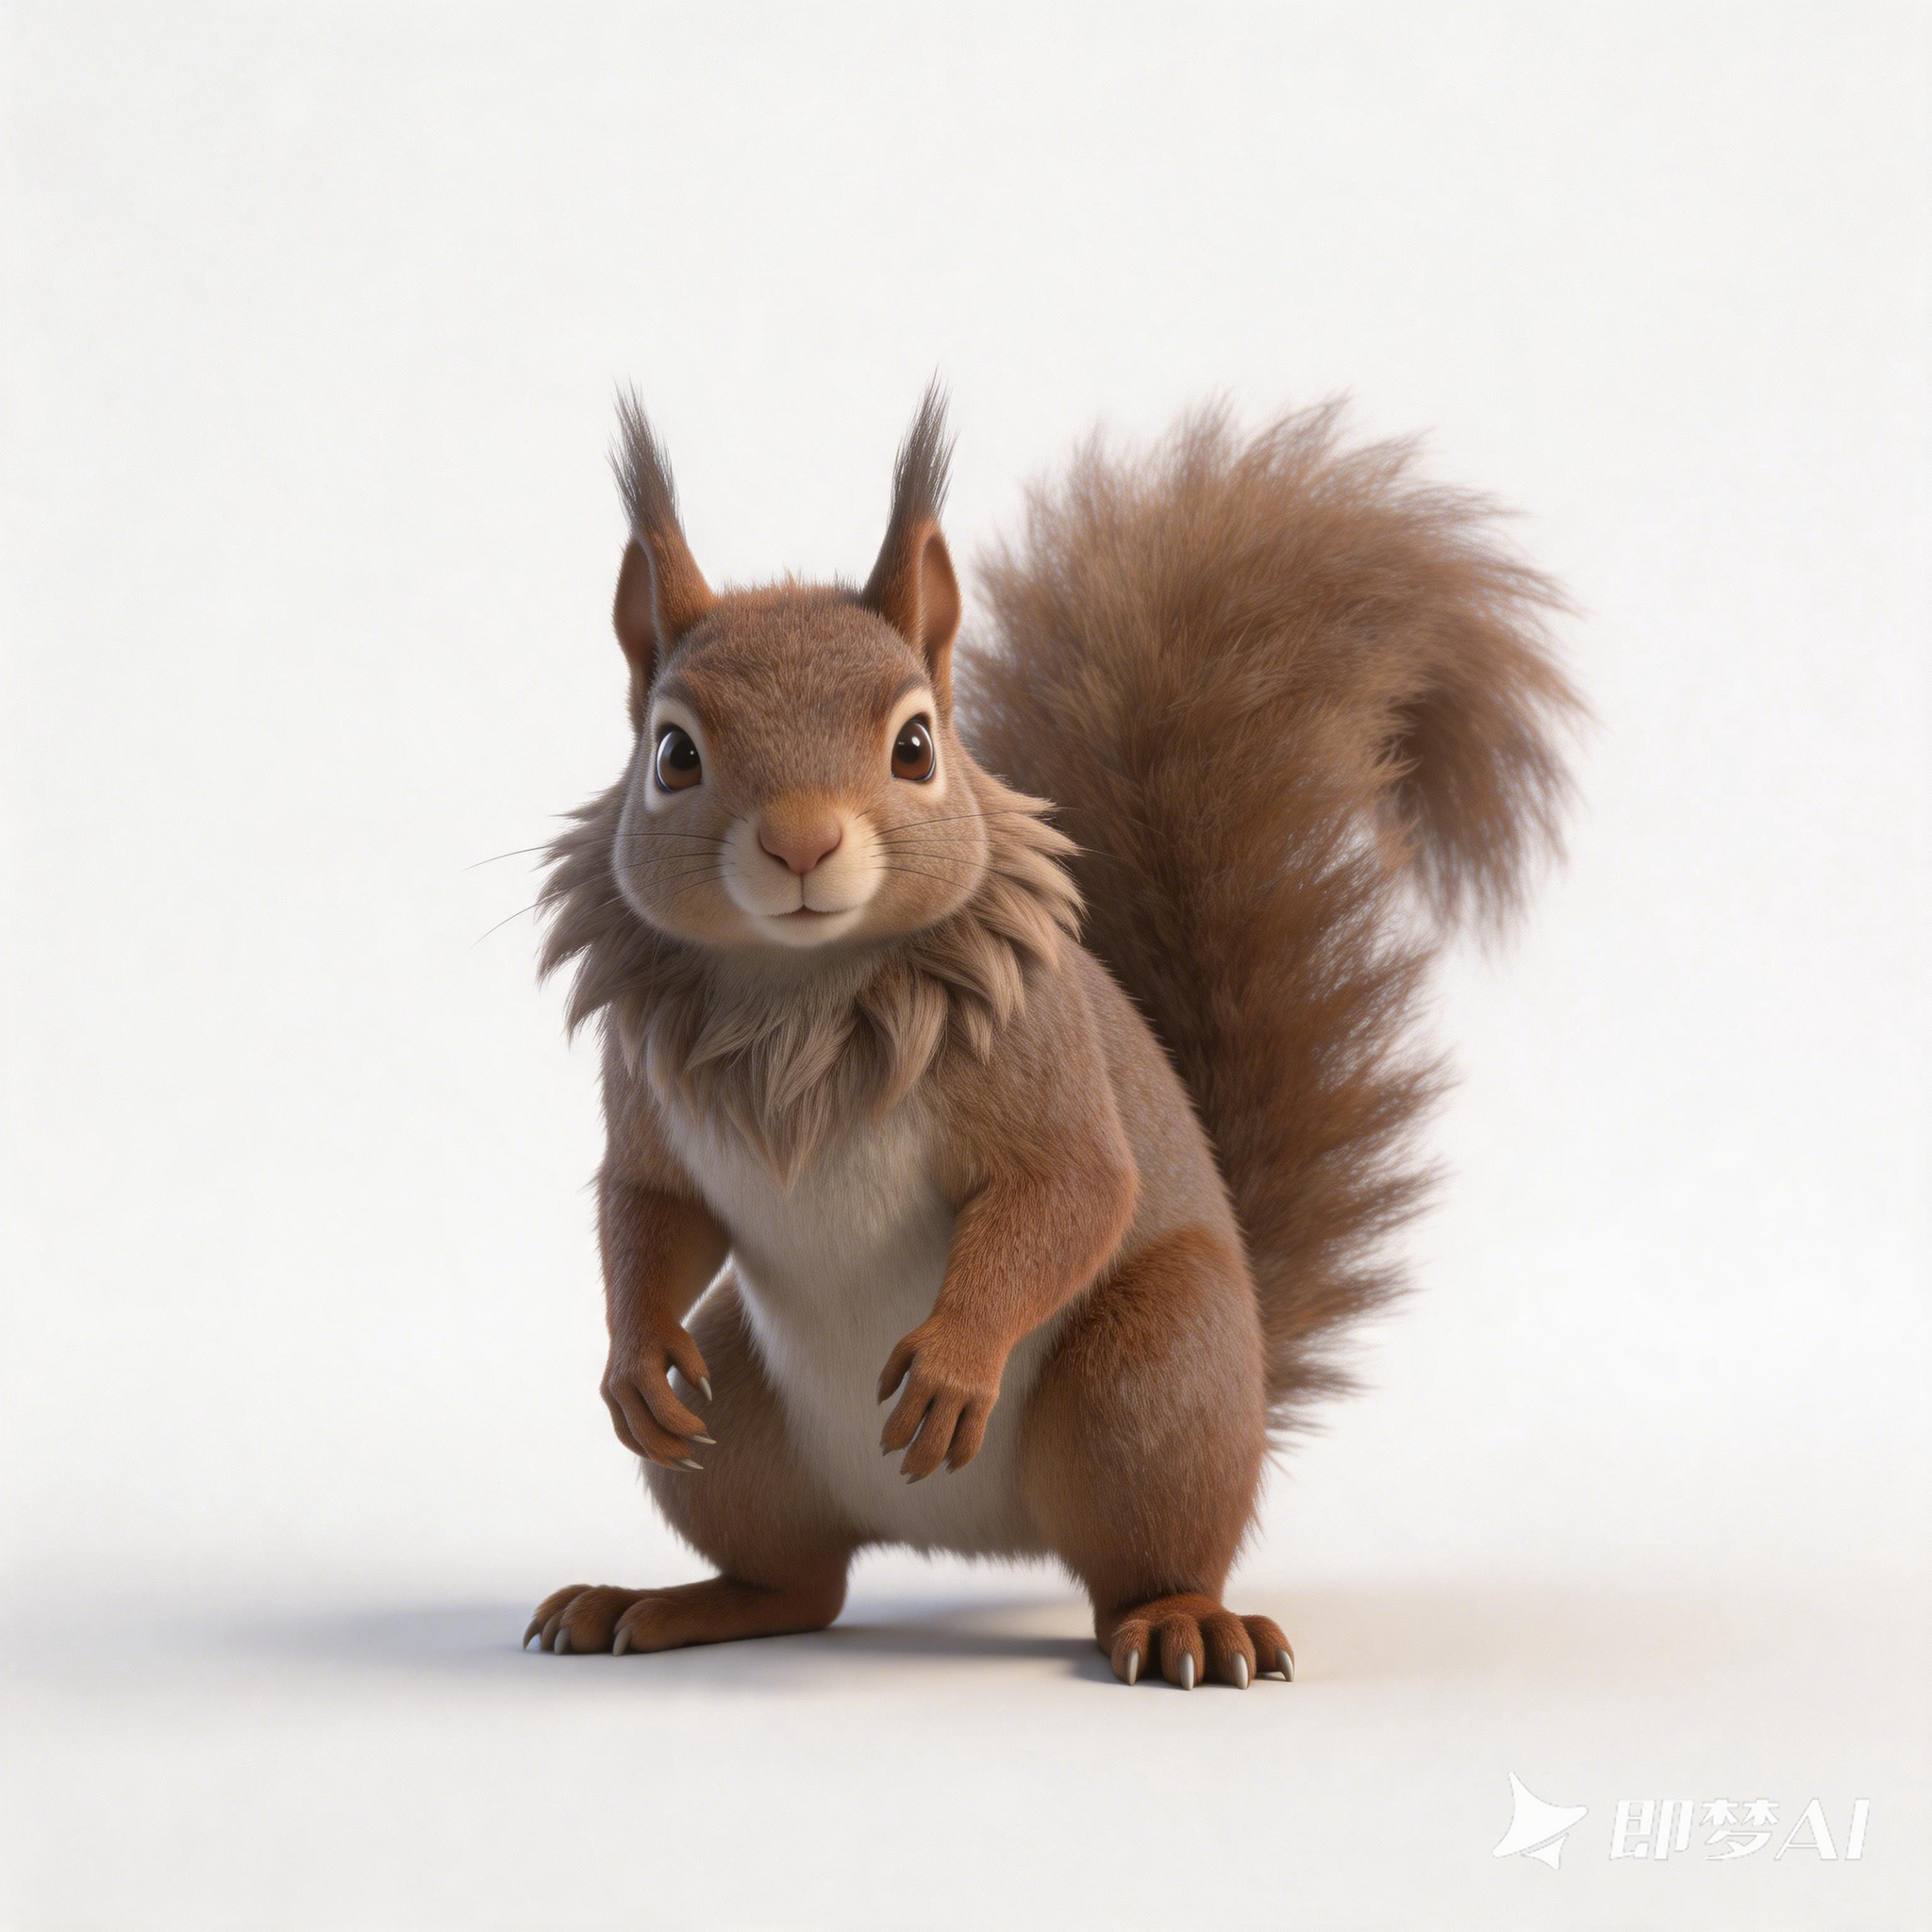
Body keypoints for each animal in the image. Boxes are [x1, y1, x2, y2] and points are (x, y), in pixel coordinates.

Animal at [525, 386, 1577, 1687]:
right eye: (672, 753)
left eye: (915, 744)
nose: (801, 842)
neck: (798, 991)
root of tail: (970, 1536)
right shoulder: (645, 1089)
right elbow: (648, 1209)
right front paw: (632, 1364)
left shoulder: (1039, 1055)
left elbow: (1068, 1191)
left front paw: (955, 1358)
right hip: (744, 1431)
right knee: (802, 1581)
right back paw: (660, 1600)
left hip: (1151, 1382)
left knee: (1138, 1560)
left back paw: (1185, 1622)